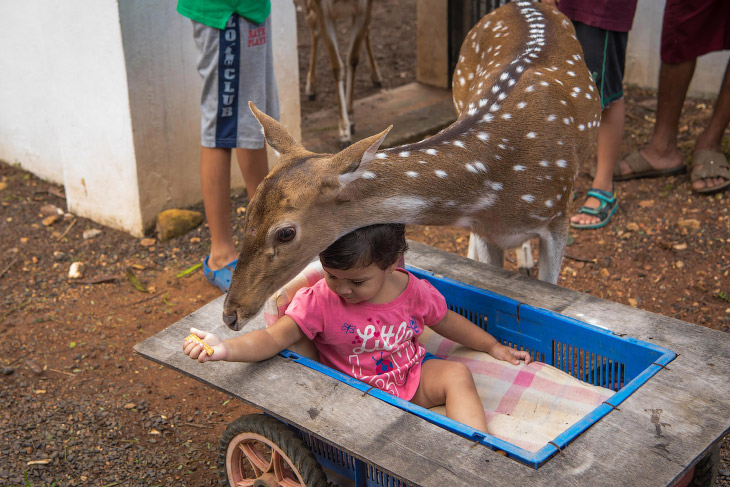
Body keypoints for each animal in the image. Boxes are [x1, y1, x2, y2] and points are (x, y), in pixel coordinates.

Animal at [300, 0, 384, 149]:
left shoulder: (364, 7)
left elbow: (353, 58)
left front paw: (350, 120)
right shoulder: (322, 9)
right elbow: (336, 66)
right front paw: (344, 132)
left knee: (367, 29)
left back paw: (376, 75)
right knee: (313, 26)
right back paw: (310, 88)